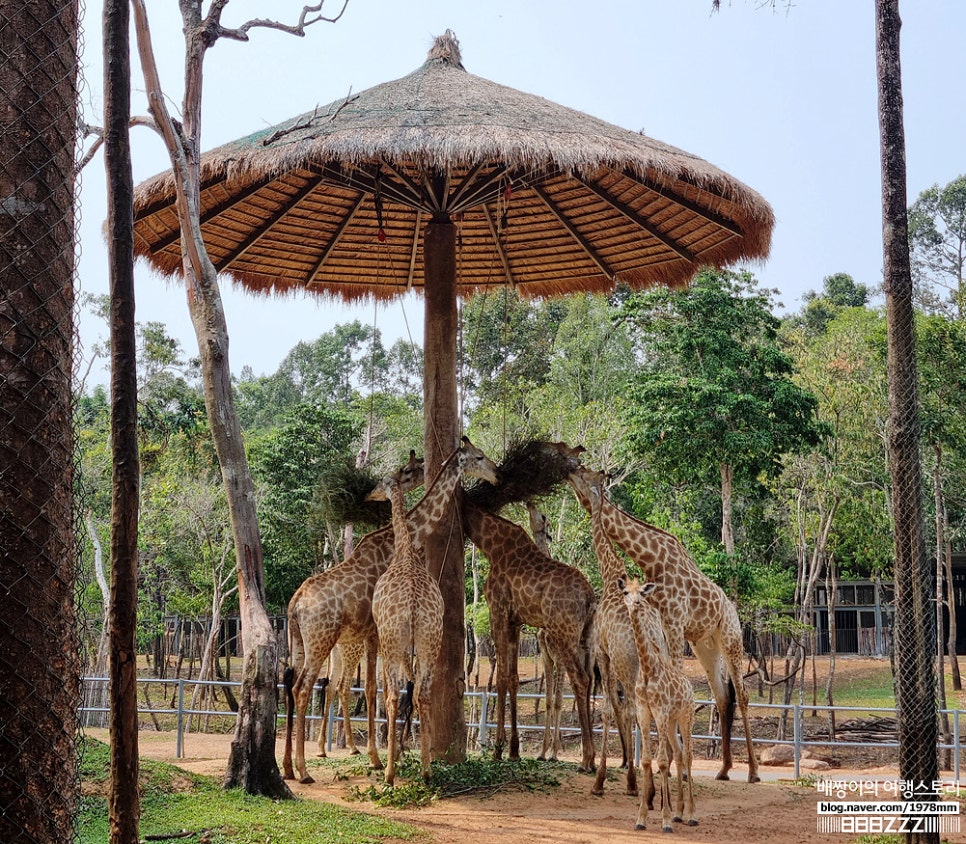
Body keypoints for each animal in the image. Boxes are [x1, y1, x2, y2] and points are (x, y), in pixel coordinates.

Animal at [280, 442, 496, 784]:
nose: (495, 473)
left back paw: (288, 765)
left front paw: (393, 754)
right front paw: (378, 758)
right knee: (306, 687)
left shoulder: (380, 637)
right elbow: (376, 689)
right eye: (410, 469)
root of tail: (295, 603)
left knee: (293, 684)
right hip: (322, 640)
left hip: (301, 641)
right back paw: (304, 769)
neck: (401, 542)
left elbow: (390, 688)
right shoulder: (376, 633)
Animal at [462, 494, 596, 780]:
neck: (490, 544)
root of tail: (590, 598)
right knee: (590, 681)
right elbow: (513, 678)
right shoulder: (515, 621)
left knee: (579, 679)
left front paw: (498, 749)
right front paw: (514, 750)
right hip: (586, 637)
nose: (530, 501)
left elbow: (501, 678)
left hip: (564, 634)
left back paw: (586, 760)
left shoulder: (498, 612)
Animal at [568, 454, 764, 784]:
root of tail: (731, 607)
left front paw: (673, 761)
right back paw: (723, 769)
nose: (567, 471)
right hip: (704, 645)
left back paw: (751, 771)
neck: (651, 560)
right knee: (723, 697)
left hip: (730, 637)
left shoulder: (673, 622)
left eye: (583, 473)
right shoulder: (662, 623)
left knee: (743, 693)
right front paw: (672, 759)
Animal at [624, 576, 700, 836]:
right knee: (678, 753)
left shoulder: (660, 712)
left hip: (686, 716)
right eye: (625, 592)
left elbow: (662, 762)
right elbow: (648, 760)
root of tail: (689, 685)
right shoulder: (644, 713)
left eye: (642, 593)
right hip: (672, 721)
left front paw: (665, 821)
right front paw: (641, 819)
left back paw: (691, 815)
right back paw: (679, 813)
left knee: (687, 755)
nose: (635, 604)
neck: (648, 669)